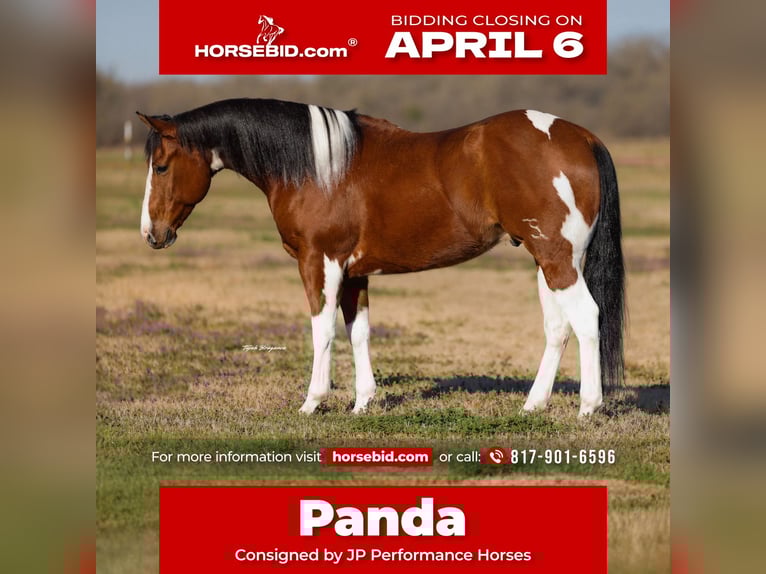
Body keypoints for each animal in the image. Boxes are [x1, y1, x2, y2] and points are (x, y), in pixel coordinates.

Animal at [137, 98, 625, 417]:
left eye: (161, 166)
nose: (151, 234)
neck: (318, 167)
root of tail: (582, 137)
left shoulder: (320, 263)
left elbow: (323, 332)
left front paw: (312, 402)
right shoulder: (355, 273)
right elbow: (359, 333)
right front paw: (362, 402)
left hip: (557, 258)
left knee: (586, 317)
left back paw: (588, 407)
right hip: (549, 261)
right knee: (558, 328)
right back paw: (533, 405)